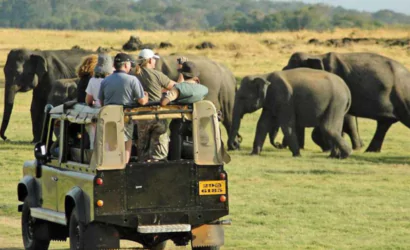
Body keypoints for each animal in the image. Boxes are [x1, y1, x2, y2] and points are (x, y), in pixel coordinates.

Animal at [229, 74, 364, 152]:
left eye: (242, 97)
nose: (236, 145)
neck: (264, 75)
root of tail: (347, 90)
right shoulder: (271, 102)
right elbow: (262, 124)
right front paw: (254, 153)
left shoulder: (285, 99)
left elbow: (286, 125)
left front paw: (297, 154)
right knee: (335, 128)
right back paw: (337, 155)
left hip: (336, 102)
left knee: (328, 128)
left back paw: (346, 153)